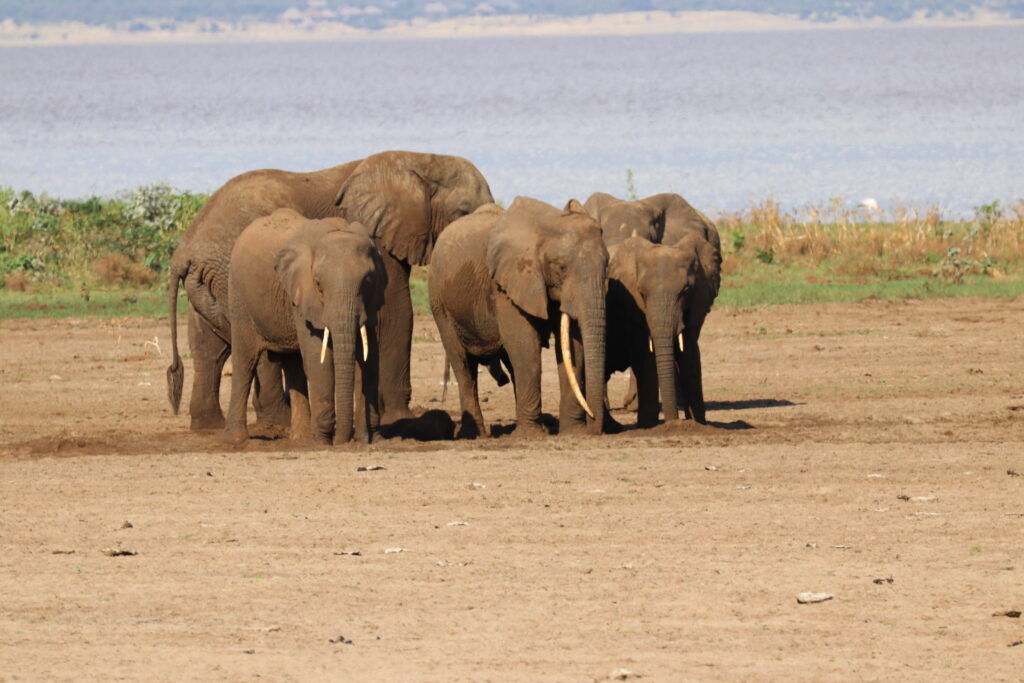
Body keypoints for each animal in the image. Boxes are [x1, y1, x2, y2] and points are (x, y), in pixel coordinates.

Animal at [165, 158, 362, 432]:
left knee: (209, 347)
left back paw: (210, 426)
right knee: (255, 345)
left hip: (205, 285)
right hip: (230, 275)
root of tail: (183, 250)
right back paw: (278, 421)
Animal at [223, 206, 385, 444]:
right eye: (318, 284)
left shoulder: (371, 302)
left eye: (368, 281)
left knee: (293, 363)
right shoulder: (302, 296)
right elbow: (318, 357)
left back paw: (300, 437)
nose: (343, 441)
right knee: (245, 360)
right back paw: (236, 439)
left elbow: (370, 356)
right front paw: (323, 441)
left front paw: (369, 439)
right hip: (239, 295)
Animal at [425, 197, 606, 438]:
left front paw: (573, 433)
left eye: (607, 264)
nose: (594, 427)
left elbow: (573, 347)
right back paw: (476, 435)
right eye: (561, 267)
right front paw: (533, 436)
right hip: (440, 302)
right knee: (463, 365)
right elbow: (524, 345)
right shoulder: (505, 285)